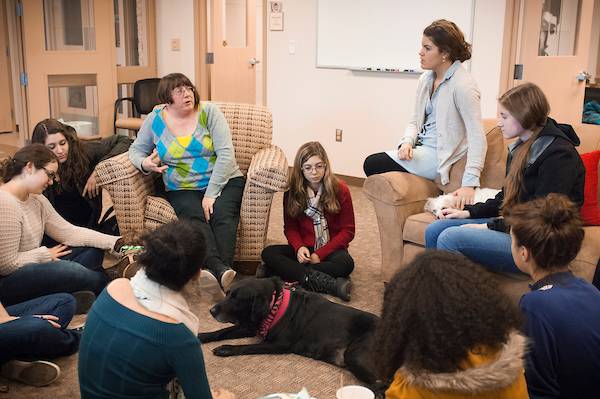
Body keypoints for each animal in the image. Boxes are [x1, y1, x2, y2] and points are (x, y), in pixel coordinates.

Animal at [199, 276, 382, 386]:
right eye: (227, 293)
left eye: (237, 299)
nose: (211, 311)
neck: (275, 304)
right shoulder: (251, 326)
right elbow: (223, 331)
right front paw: (202, 336)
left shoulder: (279, 344)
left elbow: (247, 347)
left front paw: (226, 348)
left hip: (355, 356)